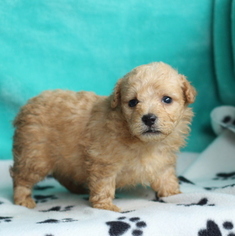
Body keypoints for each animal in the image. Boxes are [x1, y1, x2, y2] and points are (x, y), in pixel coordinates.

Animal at [10, 61, 196, 212]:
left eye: (167, 99)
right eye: (133, 102)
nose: (148, 118)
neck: (143, 142)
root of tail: (27, 106)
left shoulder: (162, 161)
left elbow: (166, 178)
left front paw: (175, 194)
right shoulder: (103, 160)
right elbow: (103, 185)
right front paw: (105, 207)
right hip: (34, 156)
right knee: (21, 177)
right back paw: (23, 200)